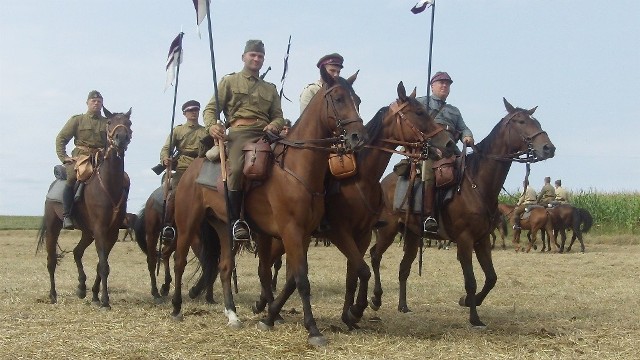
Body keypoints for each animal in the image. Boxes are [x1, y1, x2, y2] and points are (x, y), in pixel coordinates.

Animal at [35, 108, 133, 308]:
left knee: (77, 252)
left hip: (88, 232)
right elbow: (103, 265)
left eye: (129, 123)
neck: (109, 184)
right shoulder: (100, 230)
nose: (121, 138)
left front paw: (95, 295)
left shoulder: (111, 232)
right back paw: (53, 295)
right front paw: (105, 301)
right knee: (51, 261)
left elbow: (101, 264)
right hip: (53, 227)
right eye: (109, 122)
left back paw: (81, 287)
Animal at [170, 69, 368, 348]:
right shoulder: (291, 231)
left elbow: (292, 279)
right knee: (179, 262)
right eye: (339, 99)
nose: (358, 137)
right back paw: (177, 308)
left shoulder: (303, 235)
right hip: (187, 223)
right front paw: (313, 330)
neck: (297, 168)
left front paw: (270, 317)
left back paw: (232, 315)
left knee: (225, 268)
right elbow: (301, 280)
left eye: (357, 100)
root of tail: (192, 169)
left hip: (224, 228)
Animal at [250, 82, 456, 332]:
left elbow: (353, 275)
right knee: (267, 266)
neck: (361, 178)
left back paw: (267, 307)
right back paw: (267, 307)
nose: (448, 143)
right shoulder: (339, 232)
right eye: (419, 112)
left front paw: (348, 315)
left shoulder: (363, 235)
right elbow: (363, 270)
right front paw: (356, 310)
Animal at [370, 97, 556, 326]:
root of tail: (383, 182)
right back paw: (375, 299)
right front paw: (474, 317)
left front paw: (467, 301)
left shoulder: (482, 239)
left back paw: (403, 306)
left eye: (536, 121)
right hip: (387, 231)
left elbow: (491, 278)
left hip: (413, 236)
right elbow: (471, 280)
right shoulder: (465, 240)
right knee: (375, 255)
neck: (477, 183)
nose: (548, 148)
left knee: (404, 268)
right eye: (521, 121)